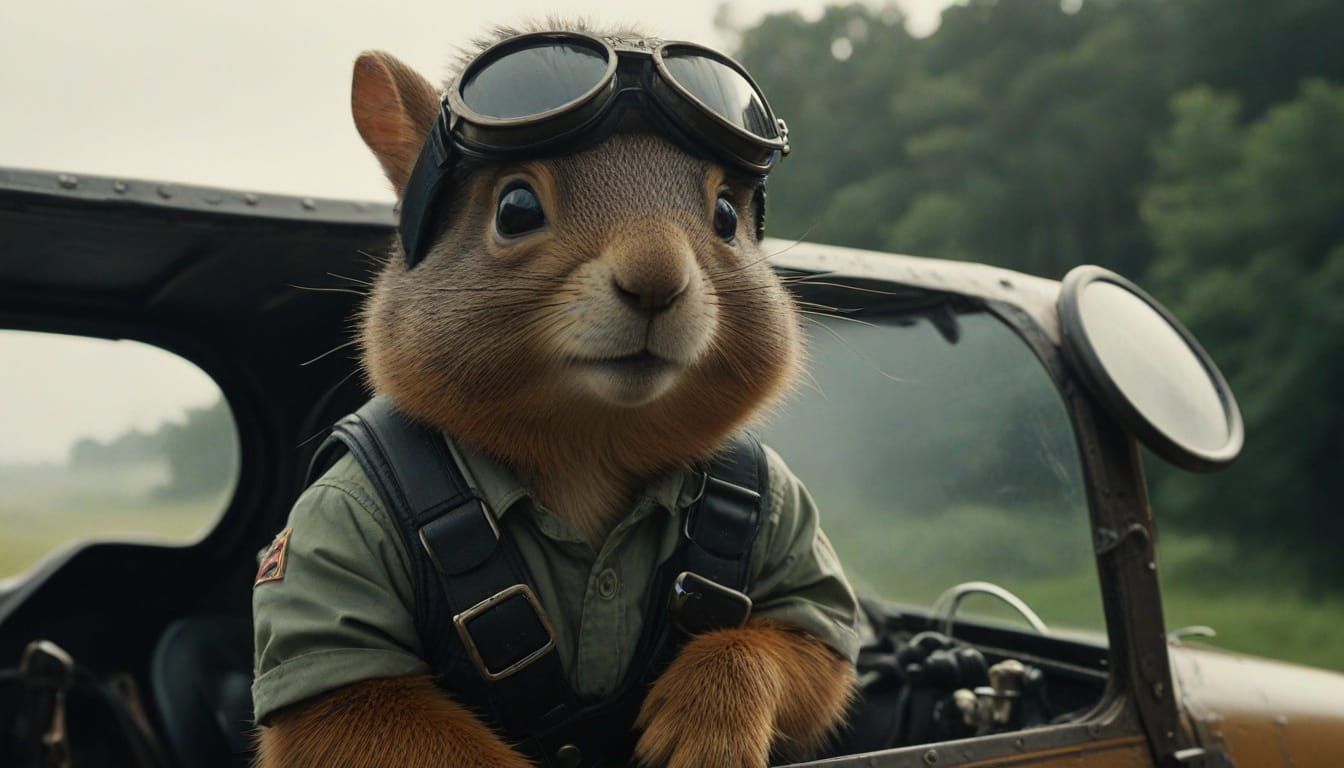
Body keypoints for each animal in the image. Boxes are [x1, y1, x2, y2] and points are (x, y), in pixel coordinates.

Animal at [253, 20, 857, 768]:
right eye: (515, 208)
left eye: (725, 215)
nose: (657, 279)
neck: (589, 448)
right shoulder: (339, 527)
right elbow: (352, 716)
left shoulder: (788, 513)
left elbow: (803, 651)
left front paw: (706, 723)